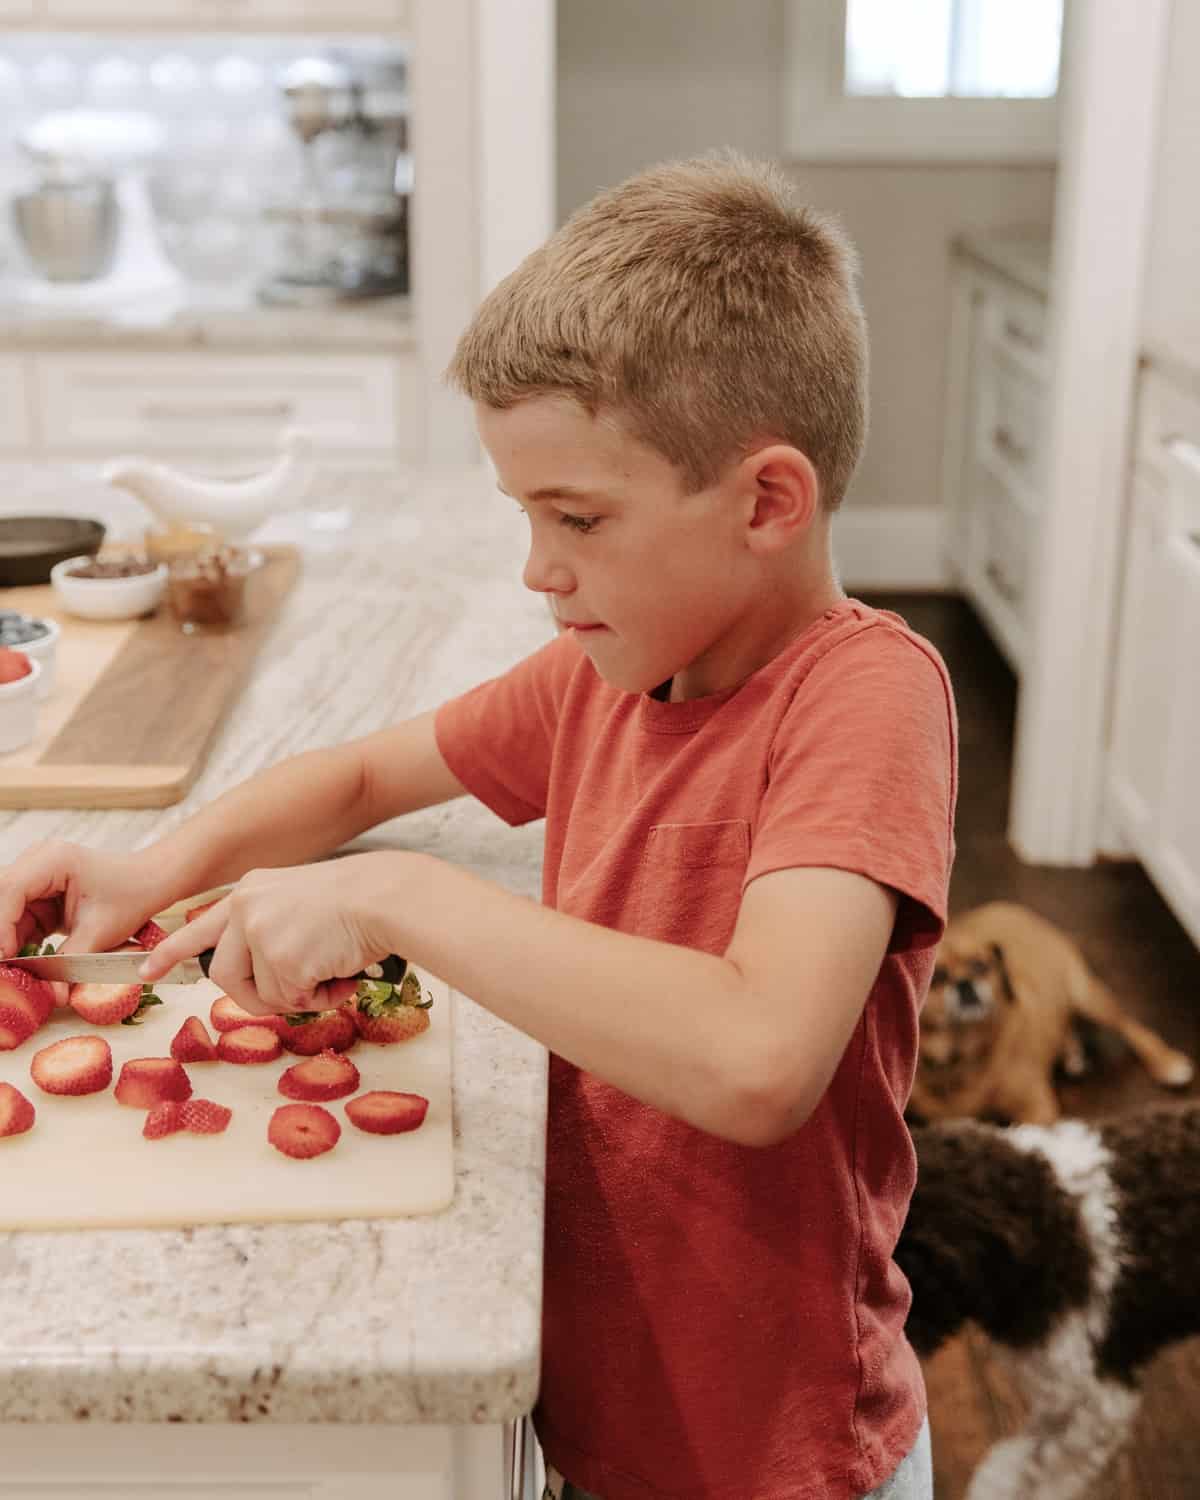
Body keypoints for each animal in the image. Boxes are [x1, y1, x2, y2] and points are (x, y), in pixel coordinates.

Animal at [912, 900, 1188, 1128]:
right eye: (937, 977)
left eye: (980, 965)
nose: (964, 984)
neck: (959, 1058)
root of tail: (1014, 909)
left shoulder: (1037, 1109)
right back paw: (1071, 1050)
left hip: (1086, 995)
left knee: (1132, 1026)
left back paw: (1167, 1062)